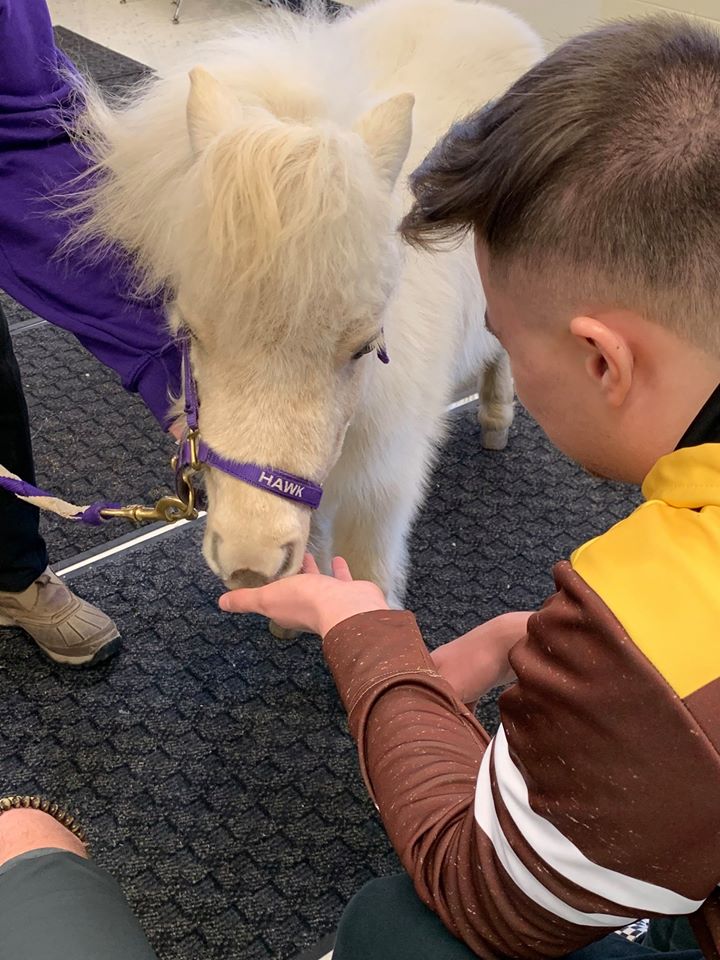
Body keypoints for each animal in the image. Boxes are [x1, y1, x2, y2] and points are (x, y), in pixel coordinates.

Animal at [70, 0, 543, 610]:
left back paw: (495, 422)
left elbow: (368, 577)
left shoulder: (381, 488)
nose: (249, 564)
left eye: (365, 346)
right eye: (190, 334)